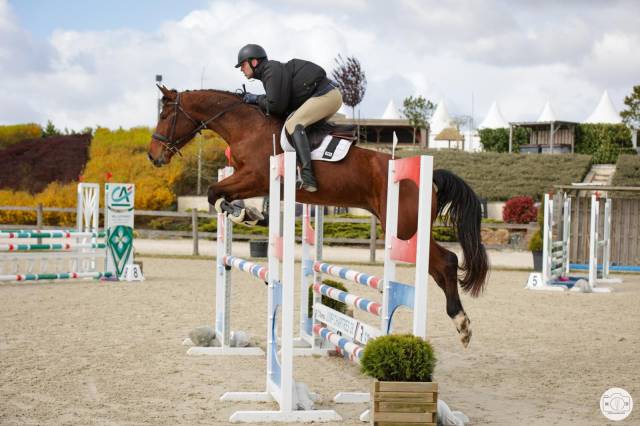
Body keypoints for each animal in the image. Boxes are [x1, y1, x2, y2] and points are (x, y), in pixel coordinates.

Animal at [148, 85, 489, 348]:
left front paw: (245, 214)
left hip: (405, 230)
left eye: (165, 115)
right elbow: (219, 195)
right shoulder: (254, 181)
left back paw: (462, 324)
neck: (247, 126)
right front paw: (250, 214)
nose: (153, 156)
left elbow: (212, 192)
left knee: (446, 262)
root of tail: (430, 177)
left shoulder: (255, 176)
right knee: (440, 266)